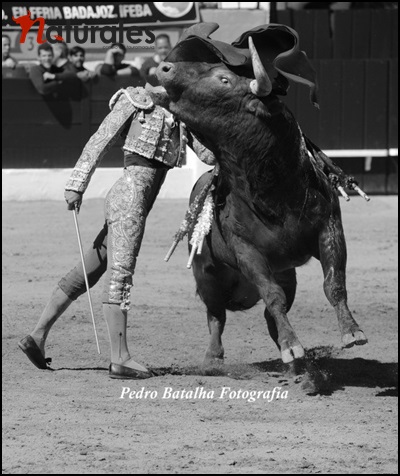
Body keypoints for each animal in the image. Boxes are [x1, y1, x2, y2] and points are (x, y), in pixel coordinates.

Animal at [147, 23, 368, 365]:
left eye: (223, 79)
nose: (164, 67)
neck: (275, 192)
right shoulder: (246, 250)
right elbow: (271, 295)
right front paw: (293, 345)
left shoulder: (330, 227)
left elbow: (334, 283)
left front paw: (351, 332)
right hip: (206, 274)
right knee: (216, 314)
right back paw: (214, 356)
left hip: (287, 274)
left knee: (268, 315)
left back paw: (292, 358)